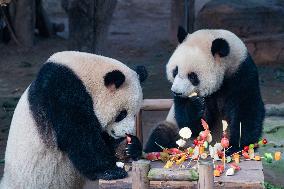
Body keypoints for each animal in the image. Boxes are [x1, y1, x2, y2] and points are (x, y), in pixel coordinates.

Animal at [0, 51, 146, 189]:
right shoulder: (60, 92)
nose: (127, 132)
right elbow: (78, 136)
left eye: (135, 114)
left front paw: (129, 146)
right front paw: (110, 171)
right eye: (122, 114)